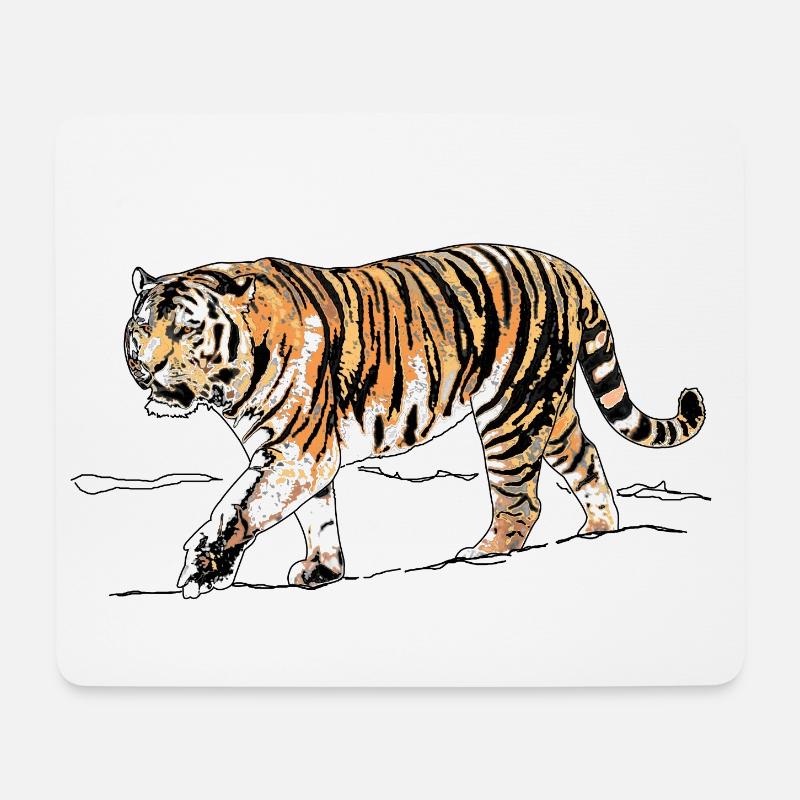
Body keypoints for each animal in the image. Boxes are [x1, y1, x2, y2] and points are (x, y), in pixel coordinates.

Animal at [124, 244, 705, 598]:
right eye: (141, 327)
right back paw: (598, 532)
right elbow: (316, 515)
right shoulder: (304, 455)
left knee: (521, 498)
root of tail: (568, 269)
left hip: (511, 410)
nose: (146, 366)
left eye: (188, 328)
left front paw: (203, 569)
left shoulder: (296, 449)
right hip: (550, 406)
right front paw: (322, 571)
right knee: (586, 457)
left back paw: (481, 554)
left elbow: (239, 506)